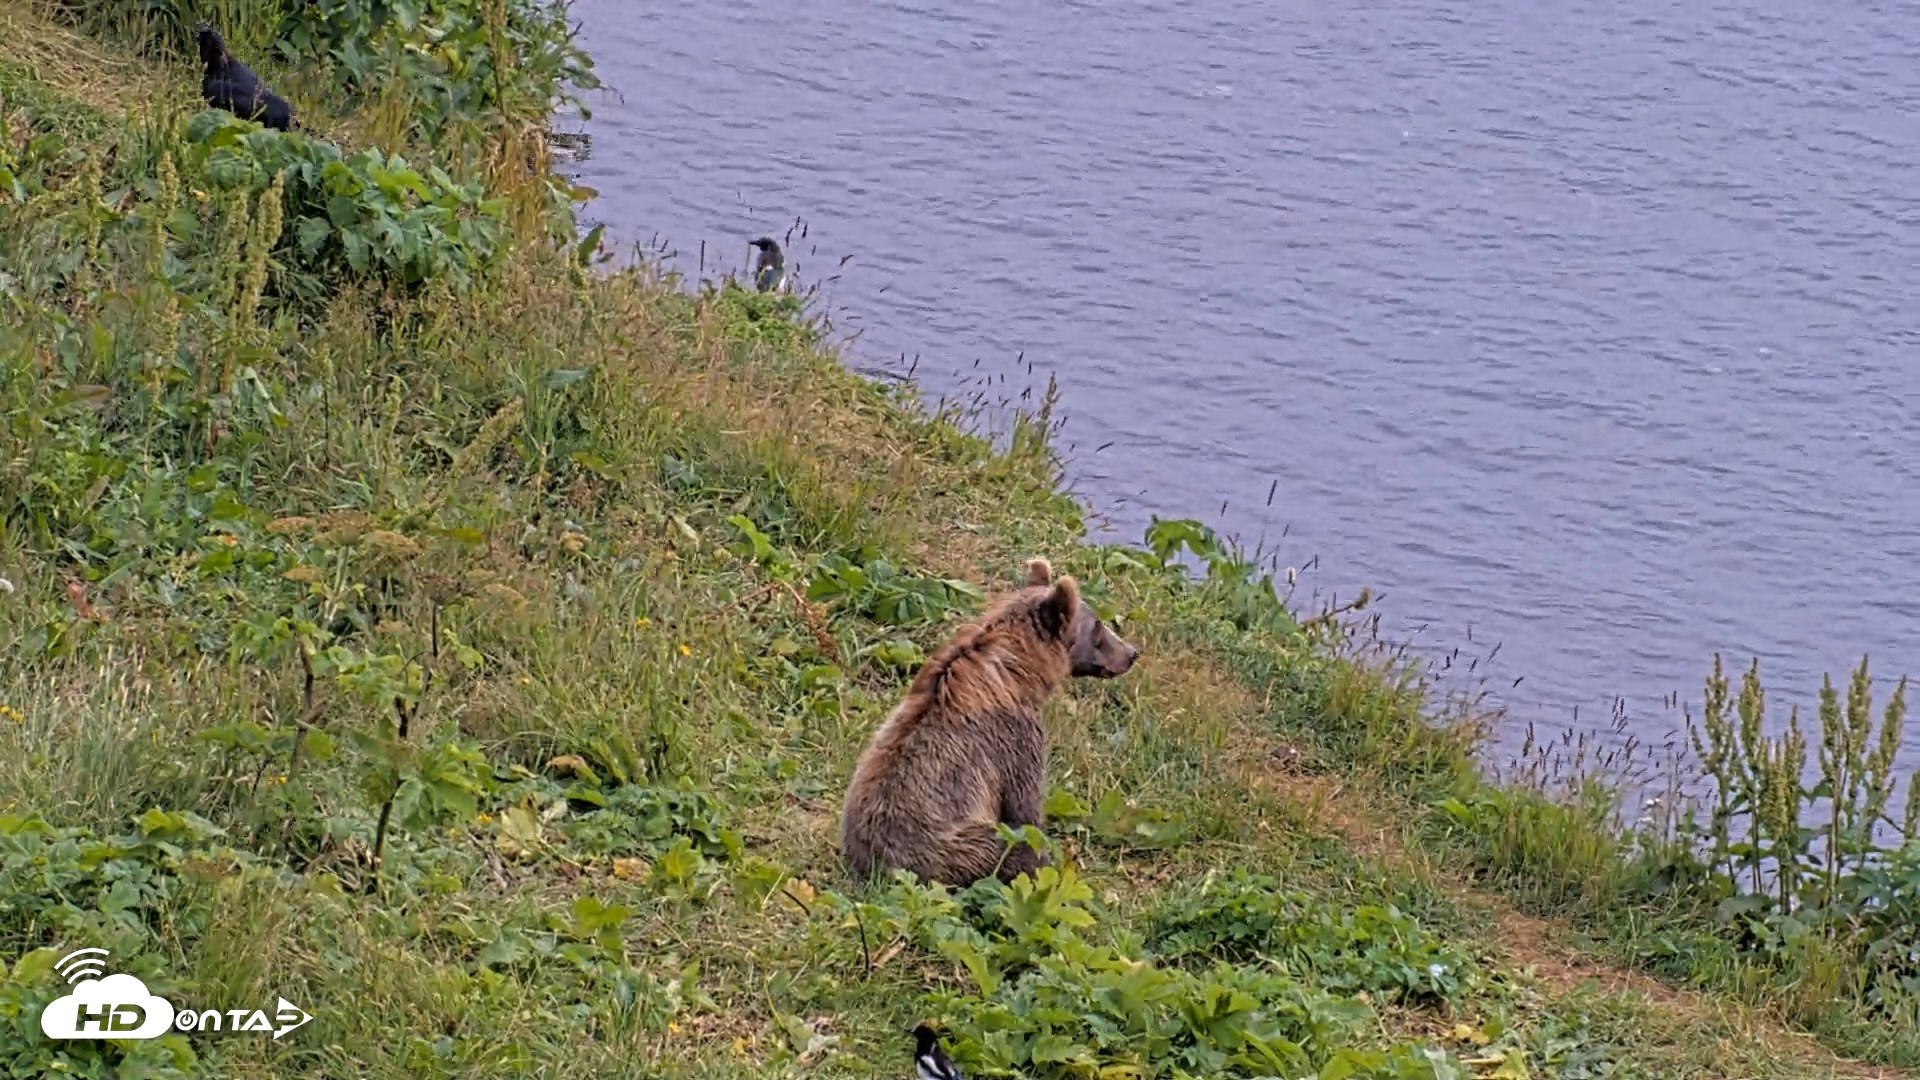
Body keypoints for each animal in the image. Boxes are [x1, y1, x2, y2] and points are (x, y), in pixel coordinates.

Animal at [838, 556, 1141, 888]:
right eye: (1098, 626)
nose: (1132, 653)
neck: (1018, 673)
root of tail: (880, 871)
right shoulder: (1011, 740)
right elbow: (1025, 811)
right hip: (956, 845)